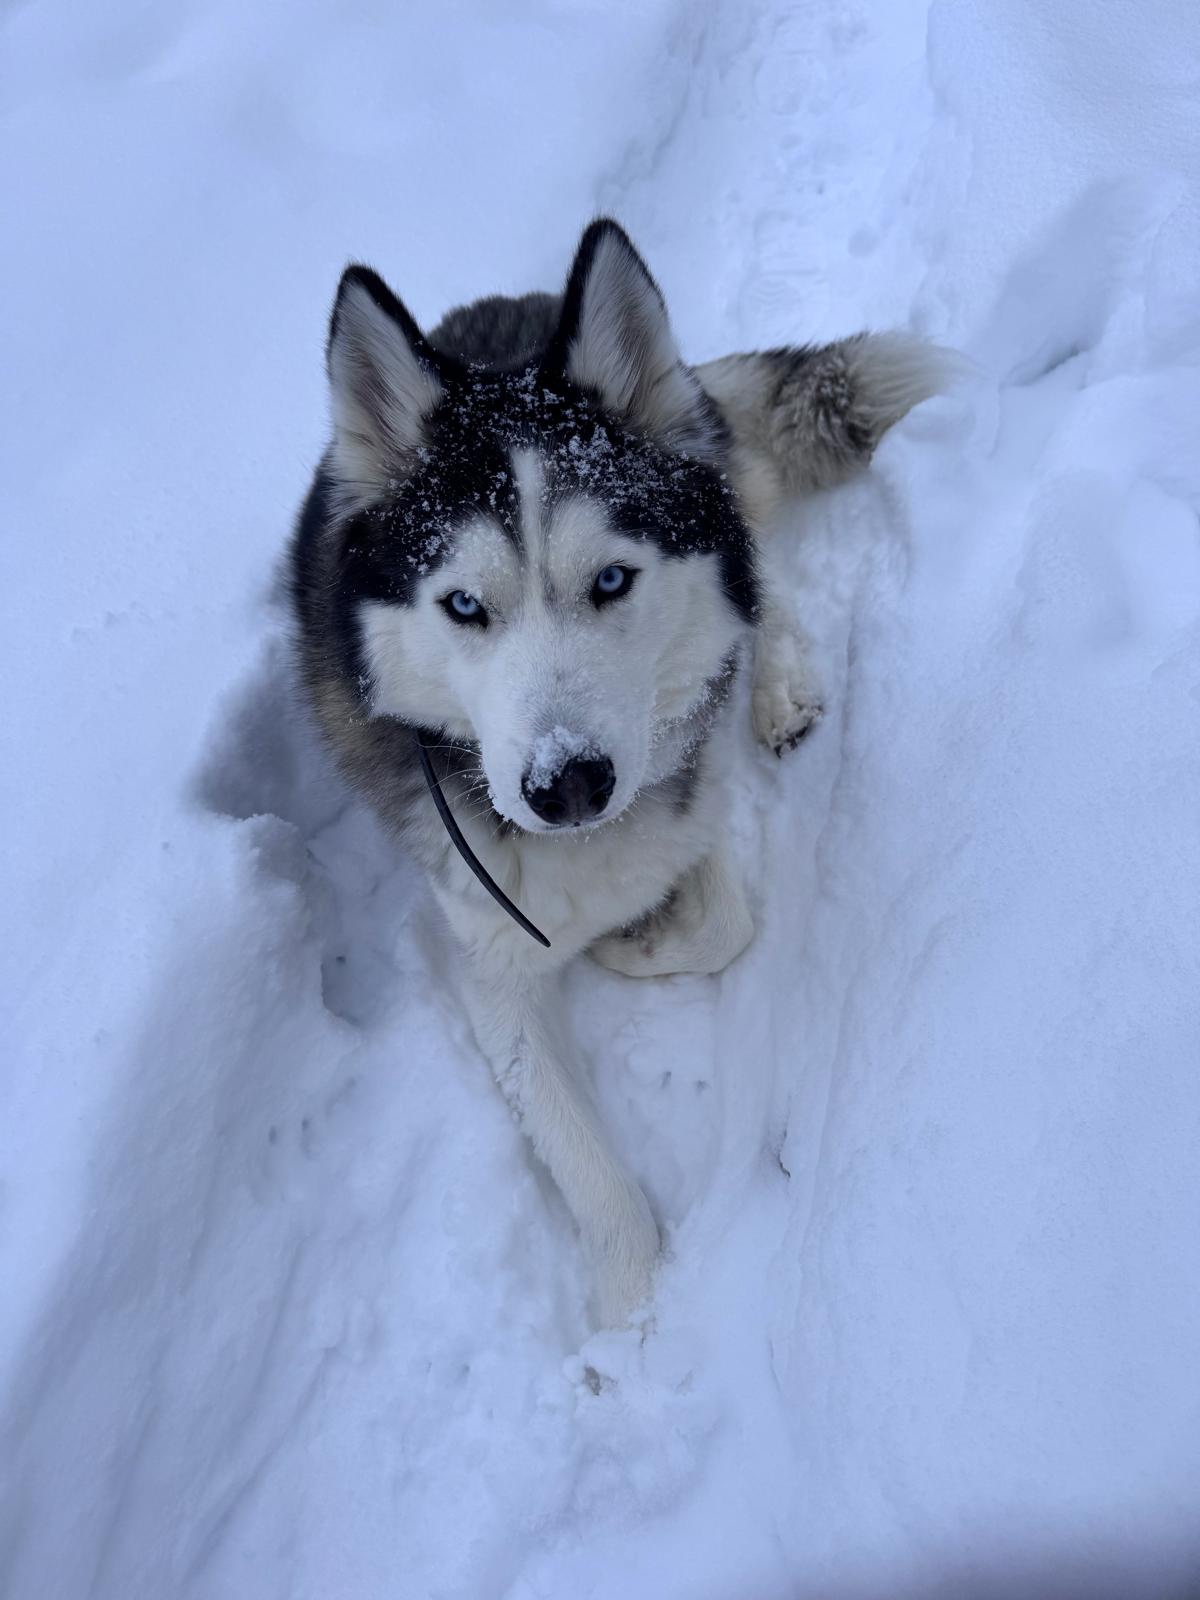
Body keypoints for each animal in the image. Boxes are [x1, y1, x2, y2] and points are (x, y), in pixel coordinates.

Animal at [291, 225, 947, 1324]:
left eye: (610, 580)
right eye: (462, 605)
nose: (568, 785)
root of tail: (508, 310)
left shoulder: (682, 790)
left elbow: (724, 924)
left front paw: (624, 943)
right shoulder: (488, 949)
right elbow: (580, 1153)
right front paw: (633, 1310)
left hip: (716, 495)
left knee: (757, 584)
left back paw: (781, 685)